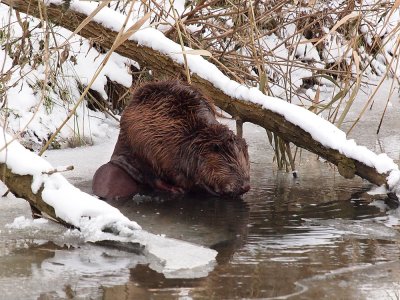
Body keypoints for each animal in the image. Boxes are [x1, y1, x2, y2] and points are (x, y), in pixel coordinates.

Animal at [93, 79, 250, 199]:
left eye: (246, 164)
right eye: (230, 167)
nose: (246, 187)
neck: (193, 136)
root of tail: (116, 158)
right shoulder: (177, 154)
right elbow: (191, 177)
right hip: (142, 149)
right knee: (153, 178)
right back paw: (175, 190)